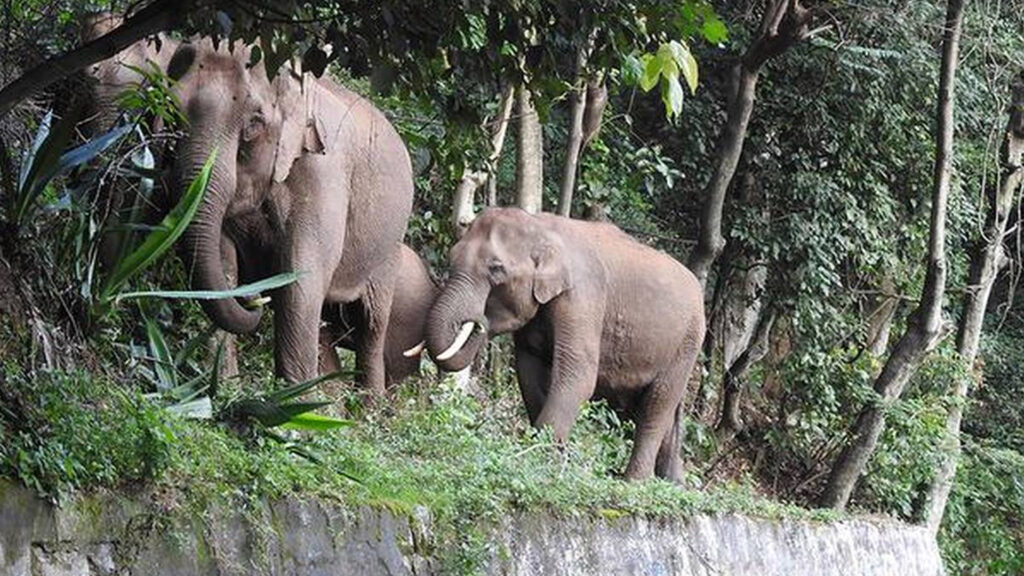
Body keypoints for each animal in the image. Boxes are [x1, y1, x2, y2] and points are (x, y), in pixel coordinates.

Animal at [165, 39, 414, 388]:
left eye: (254, 124)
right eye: (172, 108)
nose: (254, 299)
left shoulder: (322, 173)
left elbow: (302, 278)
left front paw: (293, 402)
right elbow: (224, 262)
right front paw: (225, 389)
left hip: (388, 250)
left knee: (370, 326)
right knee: (329, 327)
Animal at [420, 208, 705, 481]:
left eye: (496, 269)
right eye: (452, 255)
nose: (479, 321)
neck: (542, 226)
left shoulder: (583, 296)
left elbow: (579, 374)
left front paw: (539, 457)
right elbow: (529, 369)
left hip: (687, 344)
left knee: (655, 407)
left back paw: (635, 481)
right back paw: (674, 483)